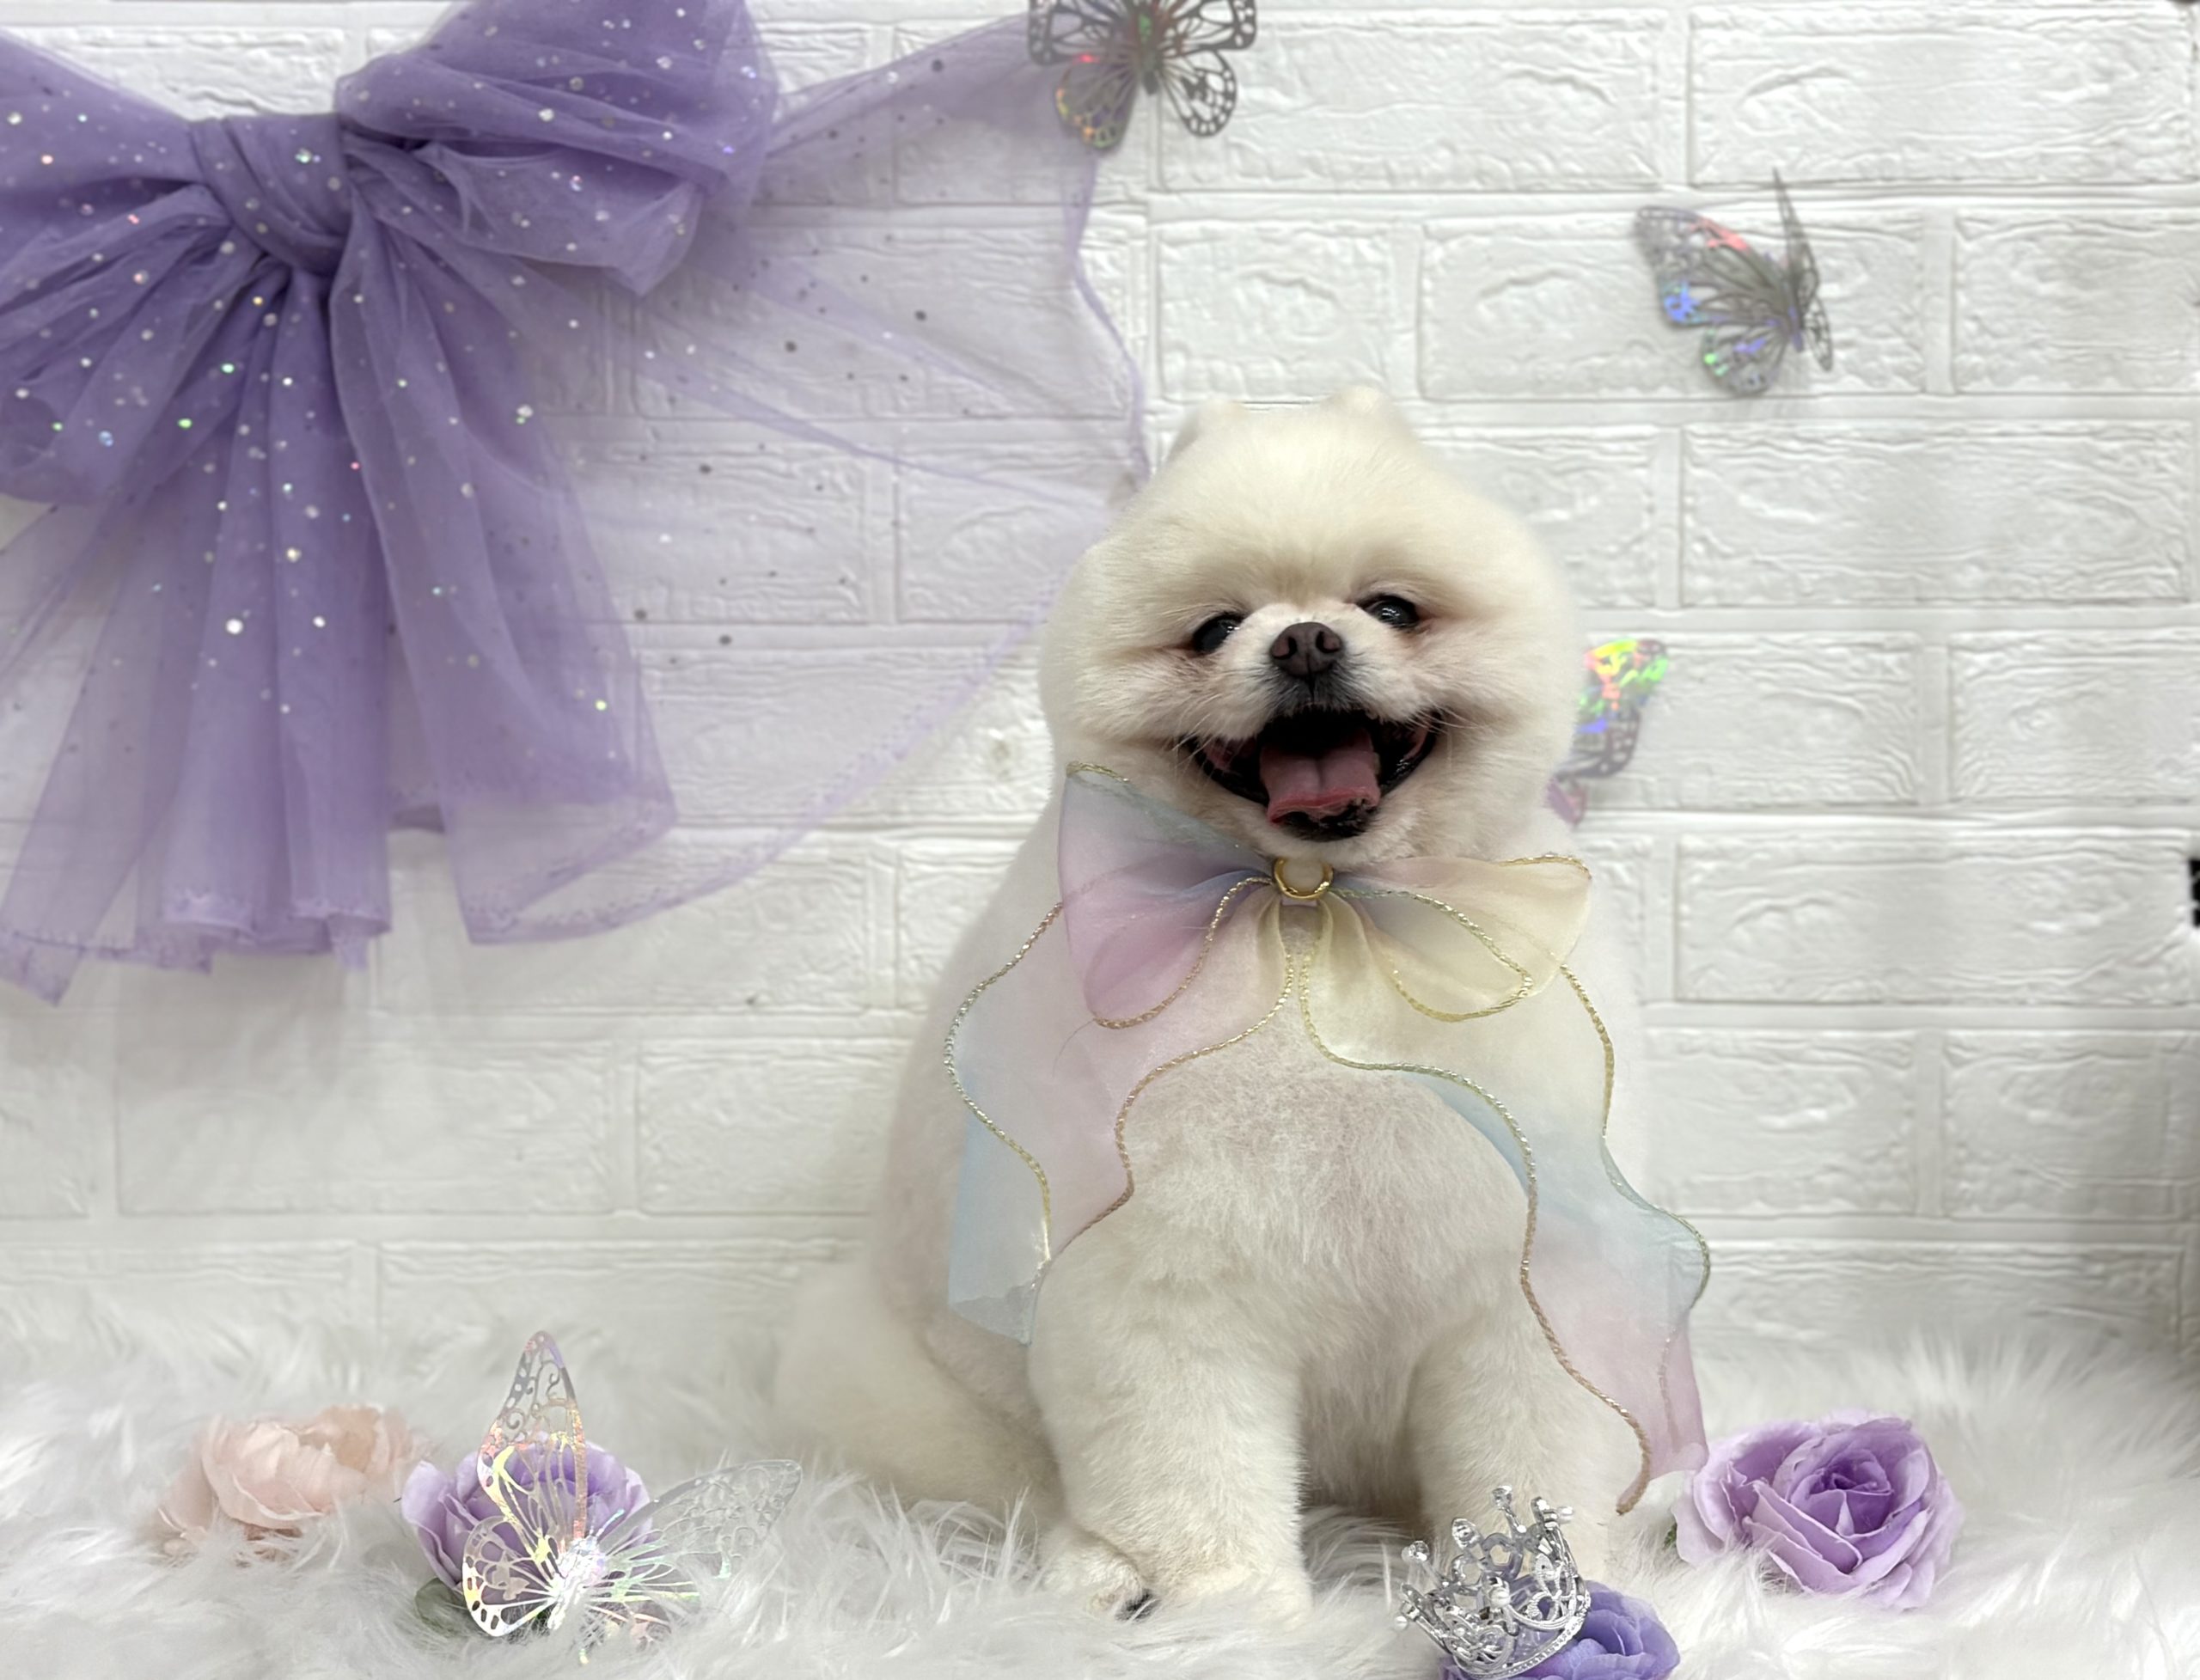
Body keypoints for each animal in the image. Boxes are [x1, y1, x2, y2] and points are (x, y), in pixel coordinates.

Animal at [775, 387, 1656, 1616]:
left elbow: (1532, 1462)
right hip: (908, 1385)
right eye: (1212, 627)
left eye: (1391, 606)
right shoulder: (1166, 1285)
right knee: (1028, 1488)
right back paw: (1094, 1566)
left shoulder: (1516, 1291)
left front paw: (1547, 1595)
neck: (1318, 921)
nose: (1306, 638)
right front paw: (1235, 1617)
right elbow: (1191, 1478)